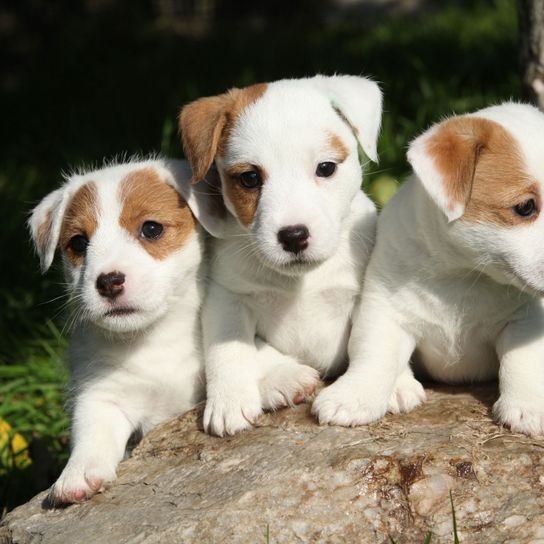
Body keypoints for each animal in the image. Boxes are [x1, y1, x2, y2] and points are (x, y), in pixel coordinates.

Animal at [30, 157, 208, 506]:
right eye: (79, 243)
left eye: (151, 229)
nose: (109, 281)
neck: (153, 337)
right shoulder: (101, 395)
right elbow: (93, 433)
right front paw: (77, 473)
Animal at [180, 73, 382, 438]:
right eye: (249, 178)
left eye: (326, 168)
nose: (293, 235)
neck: (300, 281)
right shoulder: (226, 298)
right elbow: (230, 348)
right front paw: (230, 400)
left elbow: (371, 340)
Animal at [312, 103, 544, 438]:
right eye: (525, 207)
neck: (463, 274)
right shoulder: (385, 310)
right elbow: (373, 354)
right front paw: (354, 395)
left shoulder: (525, 319)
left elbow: (524, 359)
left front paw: (530, 404)